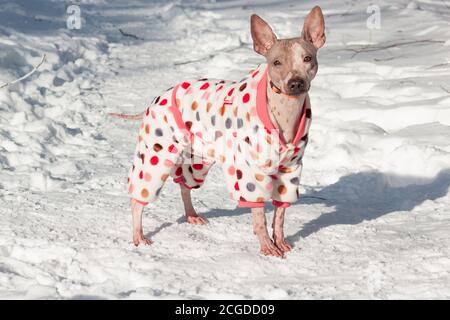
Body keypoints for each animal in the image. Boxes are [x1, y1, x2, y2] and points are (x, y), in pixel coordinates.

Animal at [112, 5, 326, 258]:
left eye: (307, 58)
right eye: (276, 62)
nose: (296, 83)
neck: (284, 110)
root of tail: (157, 98)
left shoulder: (290, 169)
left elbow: (280, 215)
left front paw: (280, 241)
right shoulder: (251, 172)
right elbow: (259, 216)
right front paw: (267, 246)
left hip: (197, 159)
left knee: (184, 184)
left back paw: (192, 215)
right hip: (156, 155)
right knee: (139, 198)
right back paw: (139, 234)